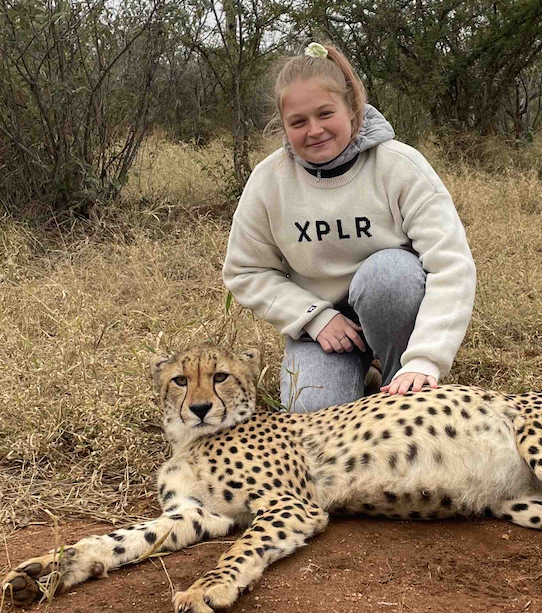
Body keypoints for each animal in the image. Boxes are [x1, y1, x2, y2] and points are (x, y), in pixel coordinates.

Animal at [3, 344, 542, 612]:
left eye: (220, 376)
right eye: (180, 380)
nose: (200, 408)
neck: (191, 439)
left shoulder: (293, 505)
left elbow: (243, 548)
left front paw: (207, 588)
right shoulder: (197, 514)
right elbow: (121, 539)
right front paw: (49, 569)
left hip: (530, 437)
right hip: (520, 504)